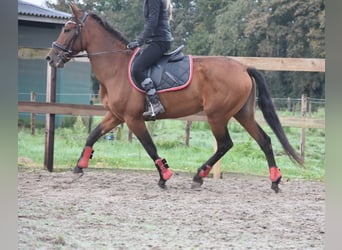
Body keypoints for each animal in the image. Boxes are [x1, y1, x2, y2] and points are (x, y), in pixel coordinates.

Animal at [44, 3, 302, 192]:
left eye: (67, 29)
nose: (50, 58)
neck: (115, 66)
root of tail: (243, 67)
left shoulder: (133, 119)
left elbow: (149, 146)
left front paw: (164, 175)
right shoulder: (116, 116)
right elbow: (92, 135)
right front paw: (79, 167)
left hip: (217, 115)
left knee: (225, 144)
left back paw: (199, 176)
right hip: (242, 113)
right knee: (264, 141)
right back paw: (275, 180)